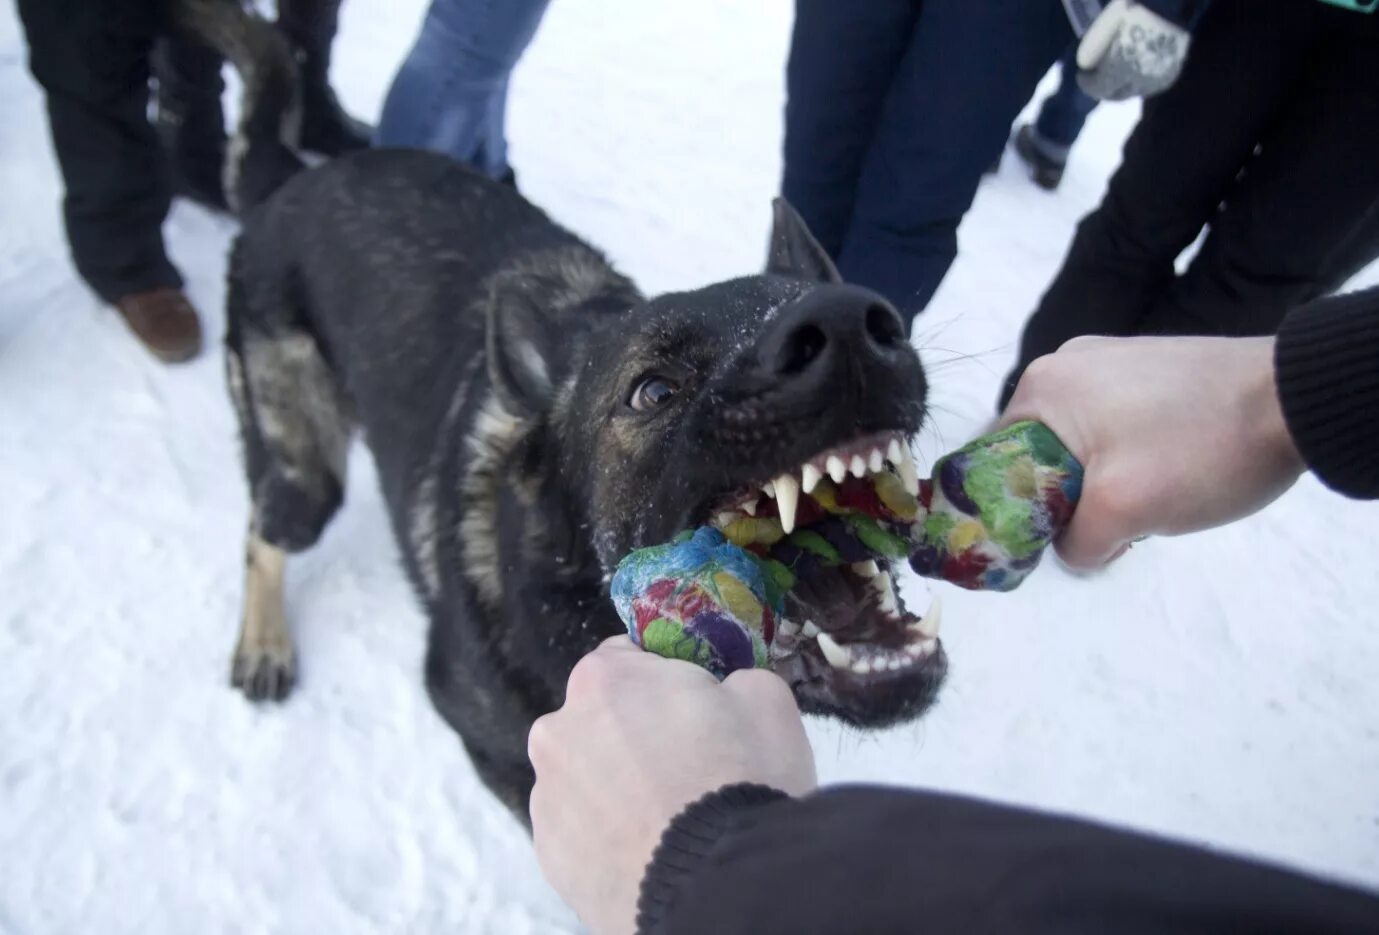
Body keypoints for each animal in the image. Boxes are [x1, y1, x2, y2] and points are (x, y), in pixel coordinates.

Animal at [226, 150, 943, 821]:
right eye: (652, 391)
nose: (850, 323)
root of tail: (297, 177)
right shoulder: (501, 749)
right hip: (306, 480)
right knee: (261, 532)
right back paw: (264, 647)